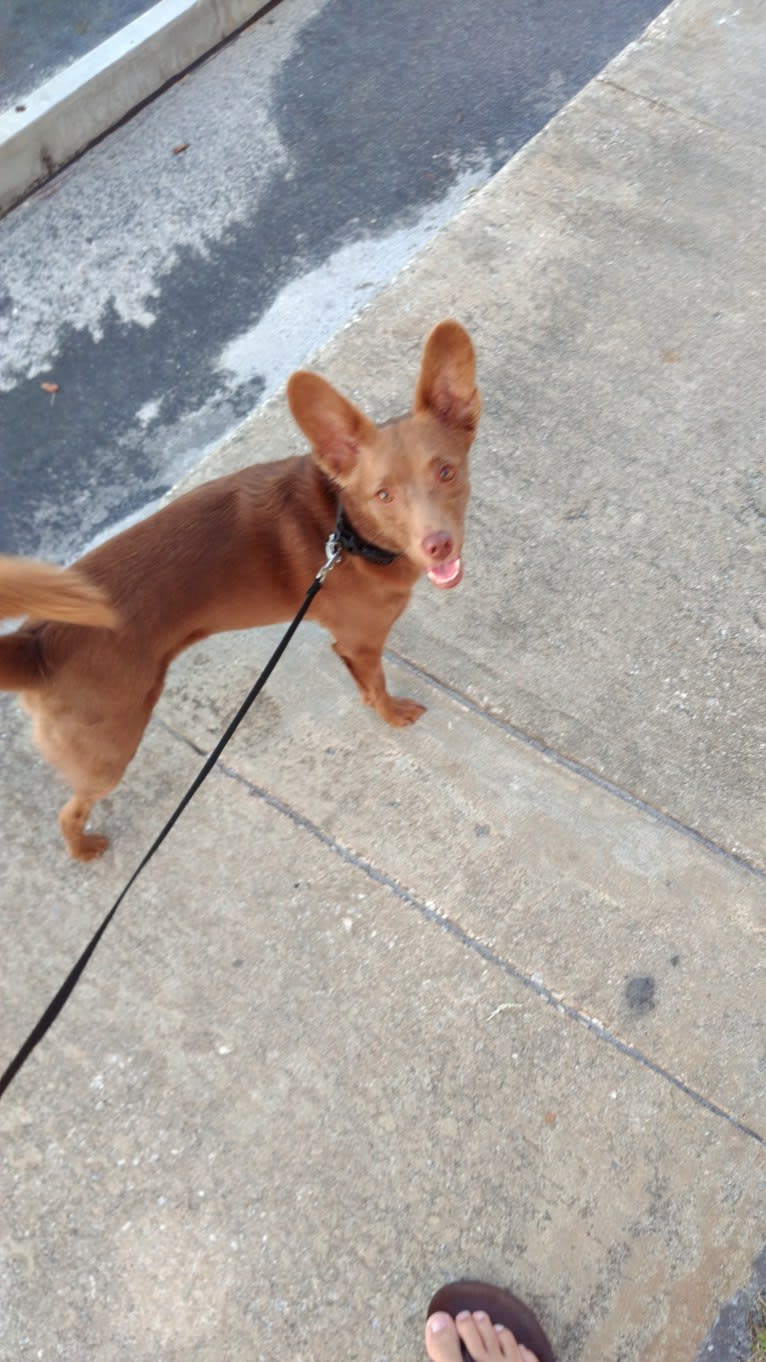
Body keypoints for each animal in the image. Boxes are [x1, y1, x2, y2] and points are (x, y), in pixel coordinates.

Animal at [0, 321, 477, 860]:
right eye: (384, 495)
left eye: (446, 471)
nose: (438, 544)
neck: (347, 532)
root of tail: (34, 643)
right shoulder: (362, 641)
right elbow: (376, 688)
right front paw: (394, 716)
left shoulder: (349, 646)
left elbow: (363, 687)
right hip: (109, 749)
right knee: (70, 809)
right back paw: (82, 848)